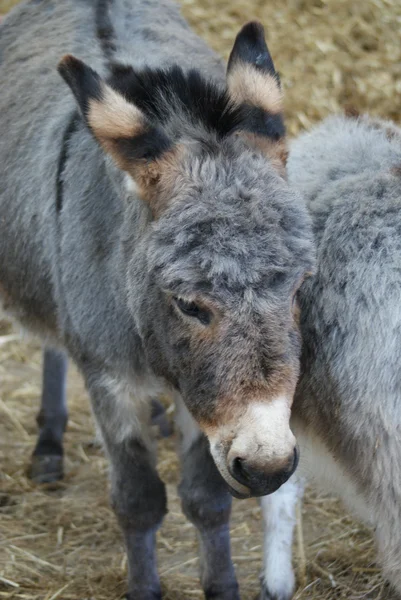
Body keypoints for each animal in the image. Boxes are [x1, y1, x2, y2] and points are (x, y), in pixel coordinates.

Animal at [0, 2, 312, 596]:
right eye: (189, 304)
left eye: (298, 286)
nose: (267, 468)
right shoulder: (107, 379)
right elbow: (140, 500)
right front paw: (144, 587)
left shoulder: (204, 406)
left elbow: (207, 501)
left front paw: (222, 585)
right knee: (54, 342)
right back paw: (49, 443)